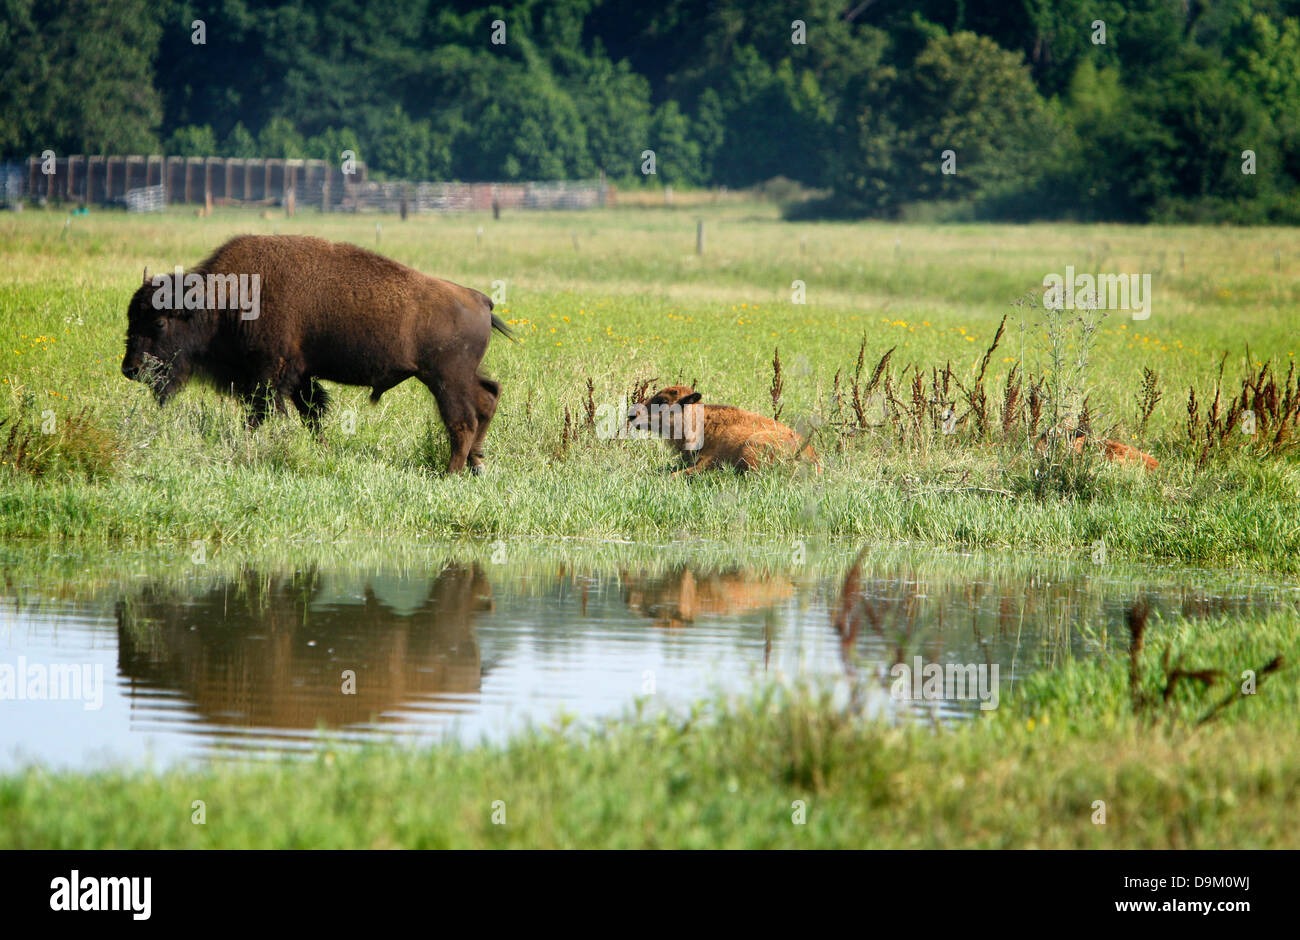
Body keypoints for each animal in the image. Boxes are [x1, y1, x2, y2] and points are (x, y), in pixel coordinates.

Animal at [119, 232, 509, 473]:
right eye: (131, 316)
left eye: (159, 322)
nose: (131, 368)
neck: (222, 298)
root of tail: (480, 300)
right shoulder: (299, 377)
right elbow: (311, 415)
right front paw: (322, 451)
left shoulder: (269, 374)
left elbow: (263, 414)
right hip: (459, 377)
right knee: (488, 398)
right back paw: (477, 465)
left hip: (446, 380)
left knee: (462, 420)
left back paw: (450, 473)